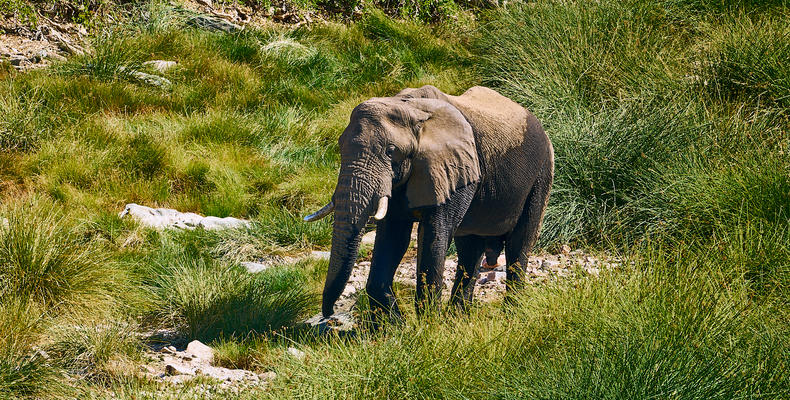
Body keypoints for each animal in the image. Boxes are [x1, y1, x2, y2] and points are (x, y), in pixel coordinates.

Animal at [306, 85, 552, 322]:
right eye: (340, 147)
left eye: (391, 151)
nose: (328, 313)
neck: (410, 108)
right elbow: (393, 238)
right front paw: (397, 327)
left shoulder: (452, 168)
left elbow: (434, 236)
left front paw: (427, 325)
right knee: (470, 248)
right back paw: (458, 318)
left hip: (542, 172)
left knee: (519, 243)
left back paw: (512, 314)